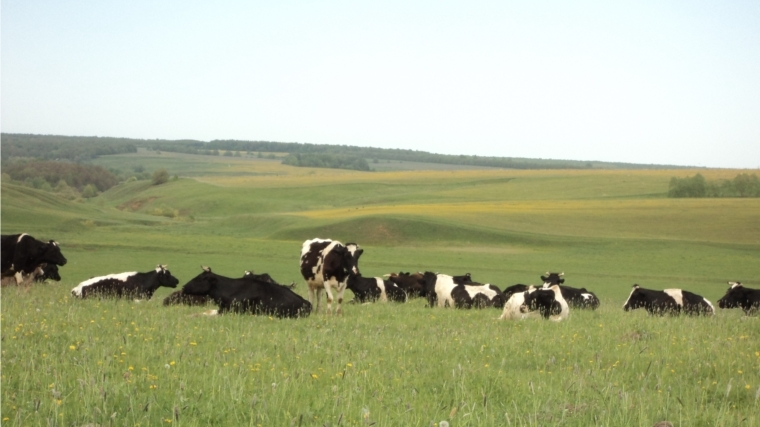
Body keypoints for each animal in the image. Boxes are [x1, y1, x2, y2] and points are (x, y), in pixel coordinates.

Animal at [182, 266, 312, 320]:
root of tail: (307, 302)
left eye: (200, 278)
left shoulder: (231, 311)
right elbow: (205, 312)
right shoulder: (222, 309)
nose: (183, 286)